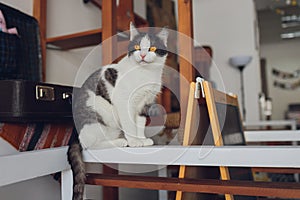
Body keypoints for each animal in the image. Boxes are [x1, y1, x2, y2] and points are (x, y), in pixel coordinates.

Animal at [67, 22, 169, 200]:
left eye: (152, 48)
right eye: (137, 47)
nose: (143, 55)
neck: (144, 74)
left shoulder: (144, 104)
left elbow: (139, 123)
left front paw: (142, 139)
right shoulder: (124, 102)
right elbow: (129, 124)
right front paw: (134, 141)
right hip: (95, 117)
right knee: (88, 144)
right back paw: (121, 142)